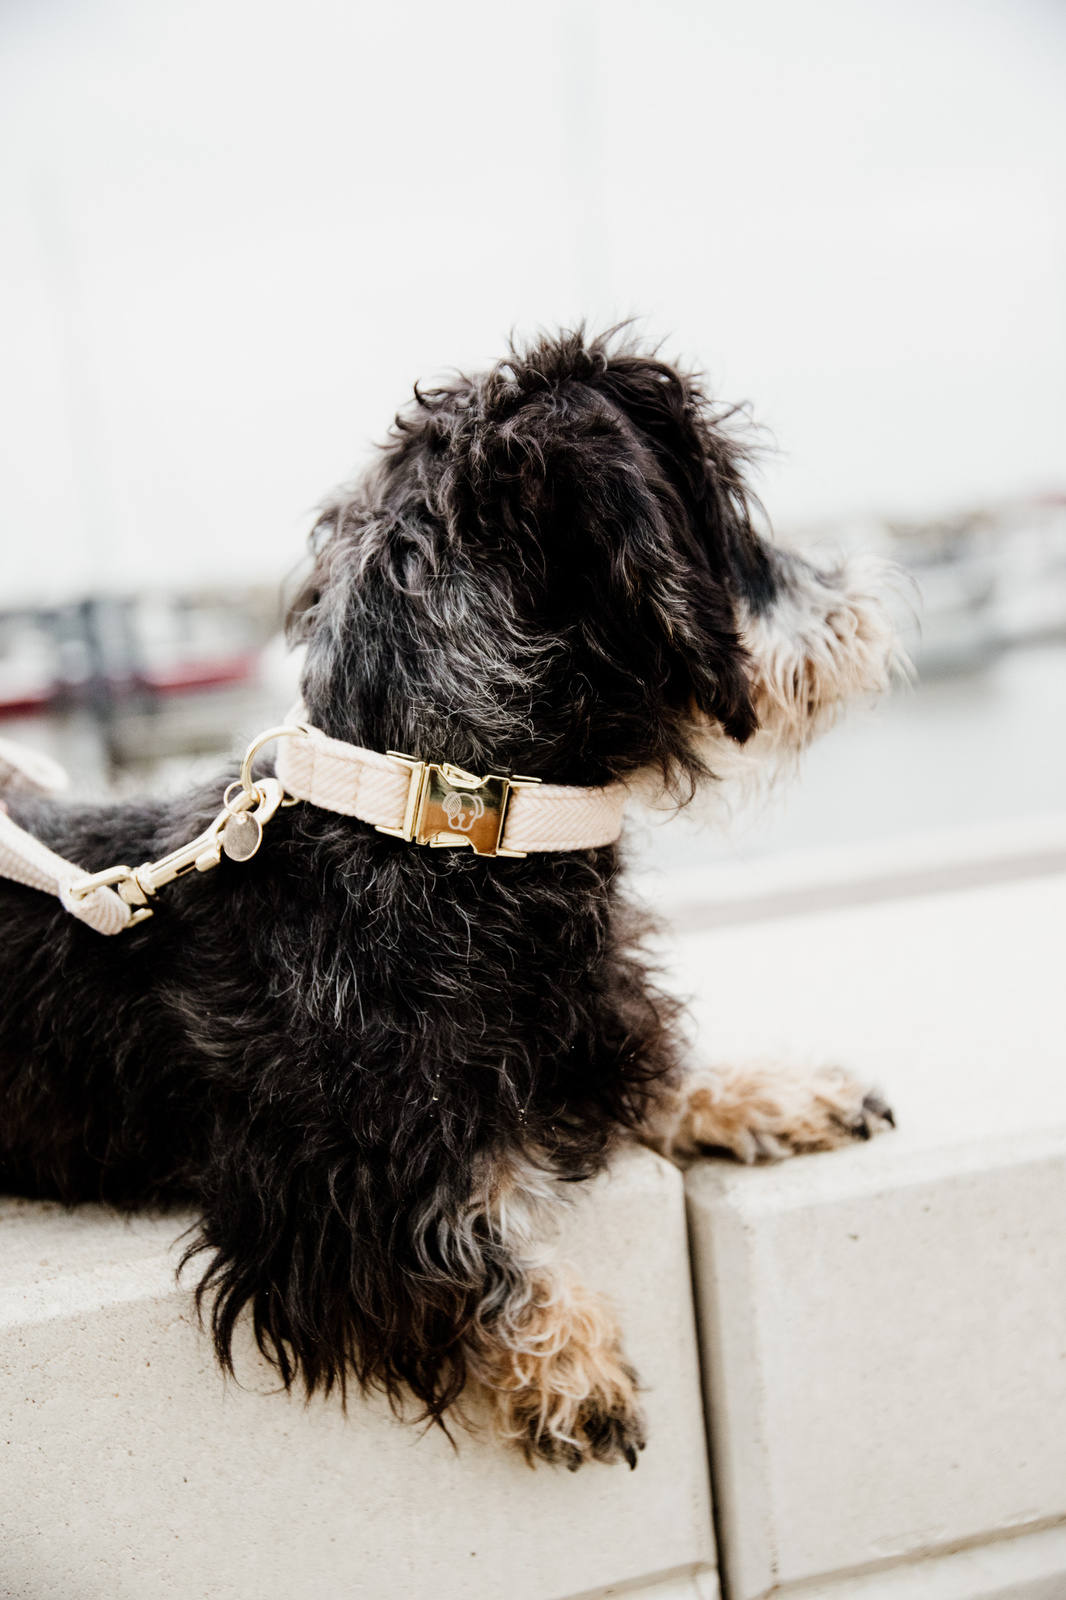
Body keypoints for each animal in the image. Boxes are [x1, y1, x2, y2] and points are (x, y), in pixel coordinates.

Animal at [0, 329, 902, 1469]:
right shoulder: (327, 1196)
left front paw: (779, 1092)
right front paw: (576, 1370)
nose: (869, 598)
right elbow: (459, 1248)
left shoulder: (593, 1033)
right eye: (728, 517)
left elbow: (658, 1078)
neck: (444, 828)